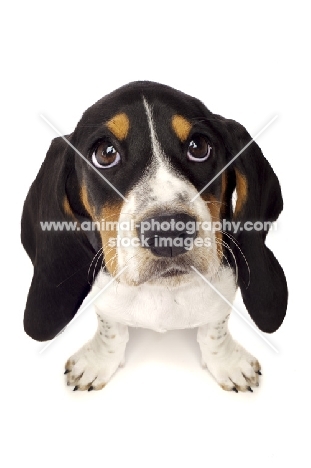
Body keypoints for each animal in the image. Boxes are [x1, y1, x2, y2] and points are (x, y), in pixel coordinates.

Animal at [21, 80, 288, 392]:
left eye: (199, 146)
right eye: (105, 153)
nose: (169, 229)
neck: (163, 292)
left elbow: (214, 331)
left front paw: (228, 364)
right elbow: (110, 330)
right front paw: (98, 362)